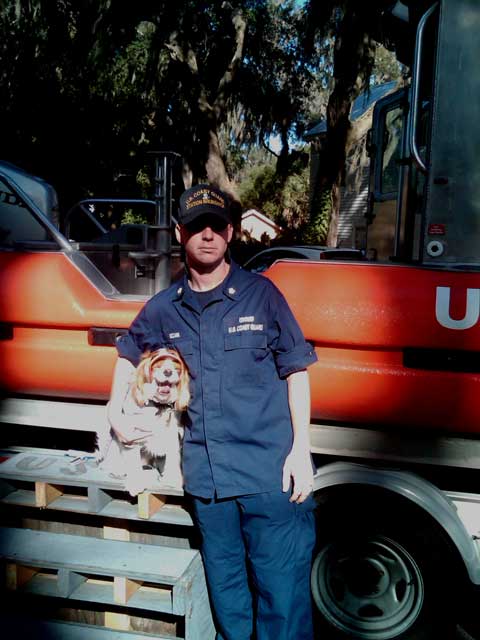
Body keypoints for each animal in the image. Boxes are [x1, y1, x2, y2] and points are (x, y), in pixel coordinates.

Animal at [95, 350, 189, 496]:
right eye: (157, 366)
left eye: (176, 368)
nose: (168, 372)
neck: (158, 406)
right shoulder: (132, 437)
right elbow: (133, 463)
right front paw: (135, 483)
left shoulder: (173, 435)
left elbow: (173, 460)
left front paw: (172, 480)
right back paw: (116, 469)